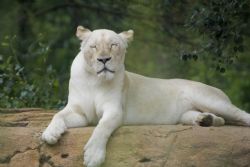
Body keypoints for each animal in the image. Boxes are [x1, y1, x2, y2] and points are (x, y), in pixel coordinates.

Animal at [42, 26, 249, 167]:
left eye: (113, 45)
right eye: (93, 47)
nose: (104, 59)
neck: (94, 80)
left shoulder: (115, 110)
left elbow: (102, 127)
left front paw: (93, 155)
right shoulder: (80, 113)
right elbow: (58, 115)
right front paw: (50, 134)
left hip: (209, 99)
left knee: (239, 114)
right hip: (186, 114)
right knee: (219, 120)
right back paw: (205, 120)